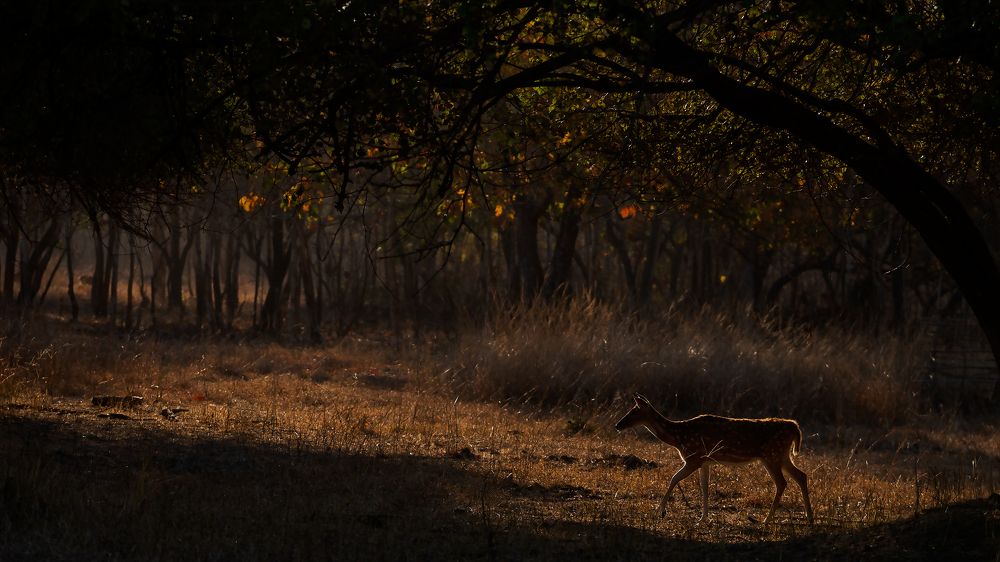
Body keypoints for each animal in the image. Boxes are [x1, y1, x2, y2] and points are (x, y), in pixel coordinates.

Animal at [615, 394, 814, 525]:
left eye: (633, 411)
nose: (617, 425)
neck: (679, 437)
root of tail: (794, 426)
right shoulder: (705, 461)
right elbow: (704, 486)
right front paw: (702, 517)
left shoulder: (694, 457)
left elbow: (674, 478)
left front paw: (660, 511)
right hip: (782, 456)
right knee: (801, 476)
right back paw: (809, 518)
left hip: (771, 456)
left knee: (782, 482)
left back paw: (766, 519)